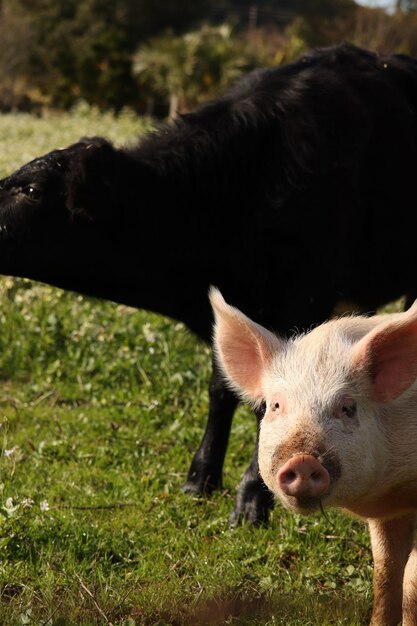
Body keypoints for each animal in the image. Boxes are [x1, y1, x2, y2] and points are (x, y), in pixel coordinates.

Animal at [211, 286, 417, 624]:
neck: (391, 491)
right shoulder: (390, 512)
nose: (303, 460)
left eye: (347, 408)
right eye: (275, 405)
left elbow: (411, 579)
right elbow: (386, 571)